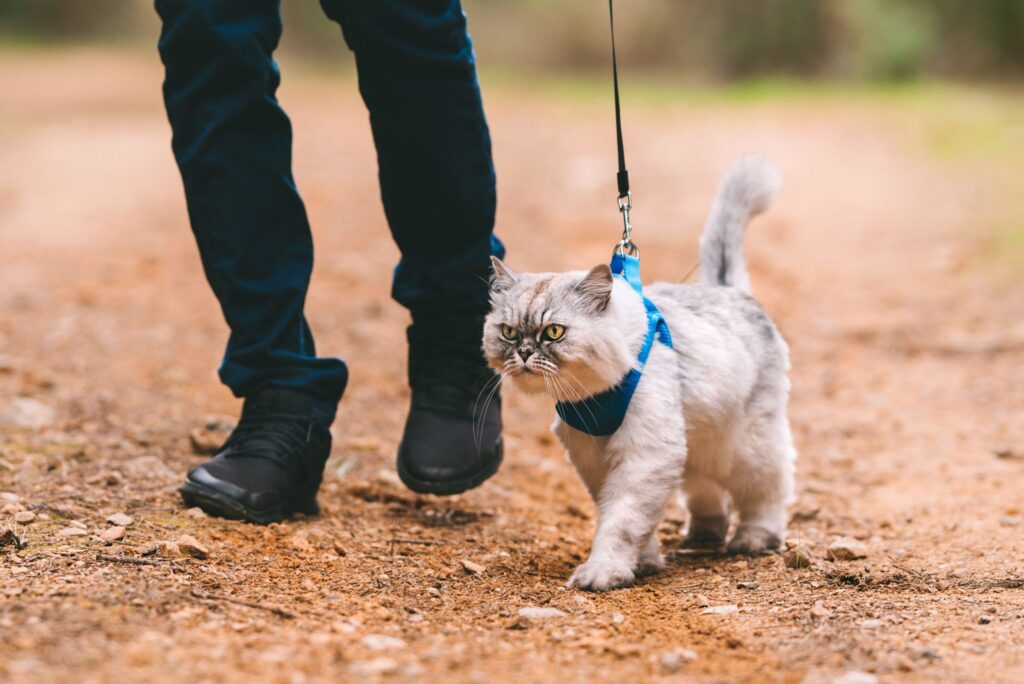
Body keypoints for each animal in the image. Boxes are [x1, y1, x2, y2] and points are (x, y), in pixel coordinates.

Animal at [481, 157, 798, 589]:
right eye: (510, 332)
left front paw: (604, 570)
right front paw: (642, 563)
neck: (592, 395)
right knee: (705, 492)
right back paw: (704, 534)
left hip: (745, 446)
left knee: (766, 492)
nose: (525, 353)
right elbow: (628, 519)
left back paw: (753, 538)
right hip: (699, 442)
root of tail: (729, 289)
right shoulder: (596, 457)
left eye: (554, 332)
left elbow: (622, 521)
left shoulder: (643, 455)